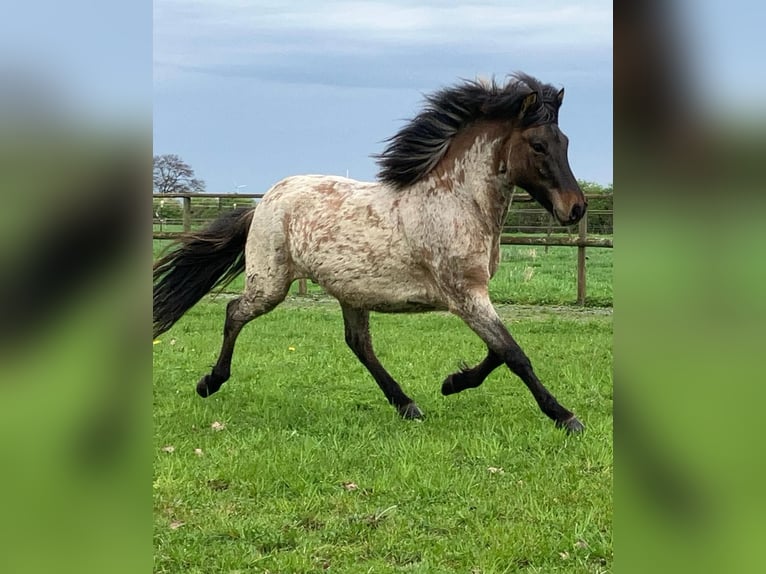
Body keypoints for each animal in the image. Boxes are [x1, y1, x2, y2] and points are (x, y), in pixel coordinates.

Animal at [153, 73, 588, 433]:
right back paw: (209, 383)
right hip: (270, 284)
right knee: (235, 313)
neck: (455, 201)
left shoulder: (471, 297)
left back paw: (407, 404)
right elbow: (513, 353)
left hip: (350, 290)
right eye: (538, 145)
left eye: (565, 143)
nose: (576, 208)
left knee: (358, 343)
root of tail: (264, 202)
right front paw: (565, 416)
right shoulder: (465, 295)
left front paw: (452, 383)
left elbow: (499, 351)